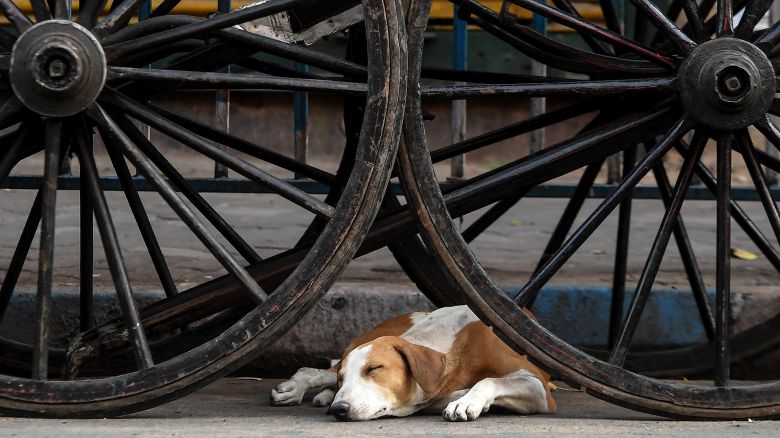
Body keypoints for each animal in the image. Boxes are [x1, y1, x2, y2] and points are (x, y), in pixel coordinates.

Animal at [270, 304, 556, 420]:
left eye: (375, 368)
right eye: (344, 379)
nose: (339, 409)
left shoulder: (537, 385)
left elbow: (488, 381)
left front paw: (466, 401)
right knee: (312, 370)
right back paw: (297, 389)